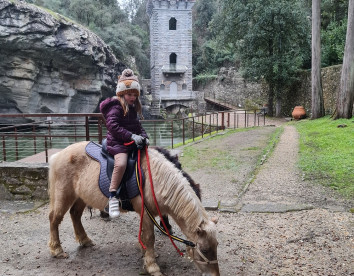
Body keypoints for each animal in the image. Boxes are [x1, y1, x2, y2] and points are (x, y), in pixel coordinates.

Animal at [47, 142, 218, 276]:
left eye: (216, 245)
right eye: (204, 250)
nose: (215, 274)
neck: (154, 179)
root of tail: (58, 155)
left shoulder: (147, 213)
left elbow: (143, 235)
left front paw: (146, 254)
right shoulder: (147, 213)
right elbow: (149, 237)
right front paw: (152, 267)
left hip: (81, 197)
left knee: (75, 214)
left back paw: (85, 240)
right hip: (63, 195)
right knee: (54, 219)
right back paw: (57, 250)